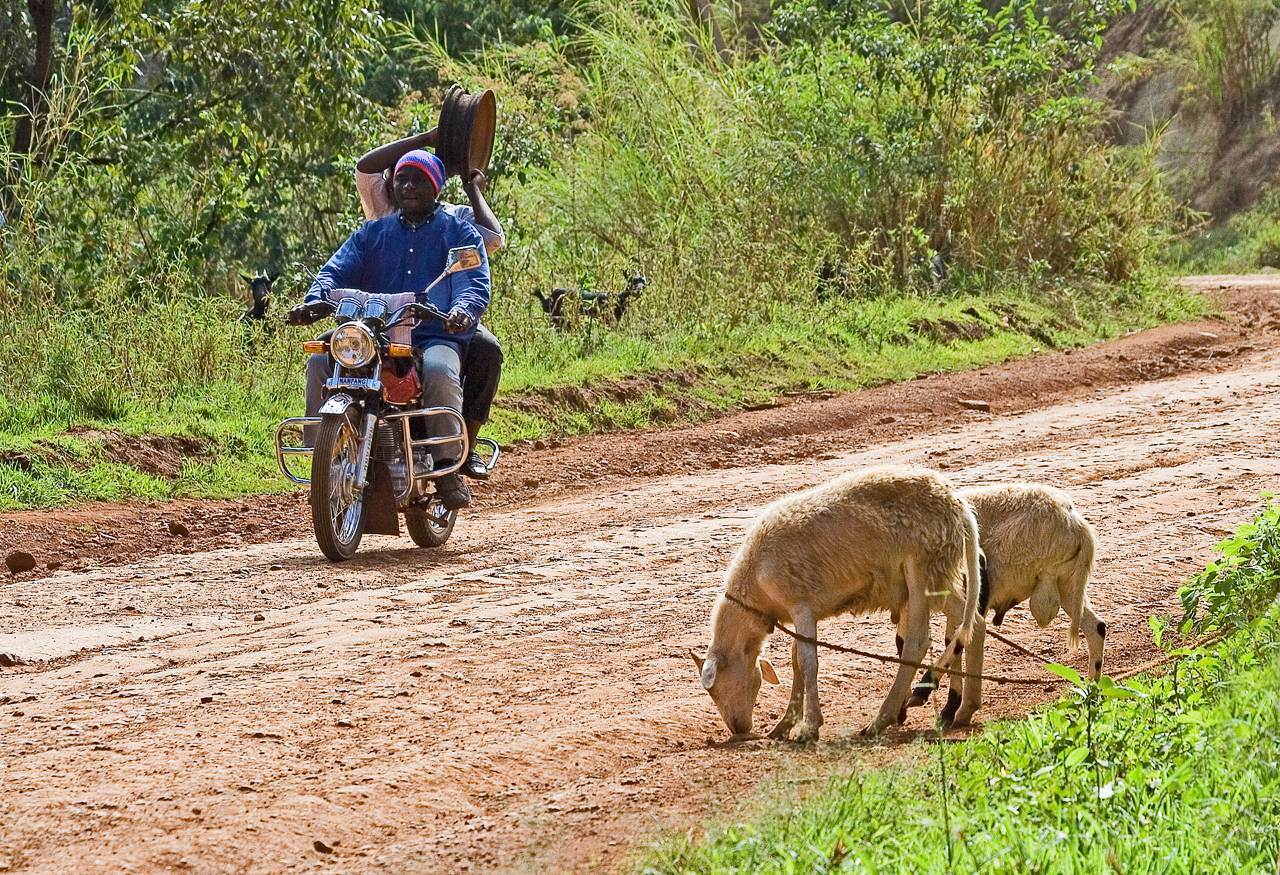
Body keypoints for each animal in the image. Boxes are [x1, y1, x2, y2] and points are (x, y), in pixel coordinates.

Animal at [691, 465, 977, 747]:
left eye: (714, 689)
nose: (738, 728)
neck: (755, 590)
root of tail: (956, 504)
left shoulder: (801, 606)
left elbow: (807, 662)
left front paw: (808, 727)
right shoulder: (798, 615)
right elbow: (796, 662)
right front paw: (783, 726)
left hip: (921, 568)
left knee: (917, 643)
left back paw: (885, 717)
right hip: (938, 573)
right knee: (971, 621)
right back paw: (962, 708)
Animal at [906, 480, 1105, 726]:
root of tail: (1077, 524)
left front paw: (950, 707)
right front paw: (948, 708)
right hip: (1069, 585)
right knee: (1096, 627)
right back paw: (1091, 691)